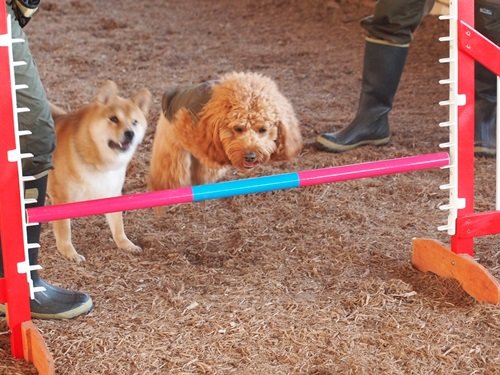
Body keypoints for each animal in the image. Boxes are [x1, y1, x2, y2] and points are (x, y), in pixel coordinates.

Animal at [48, 81, 152, 264]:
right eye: (114, 119)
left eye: (135, 122)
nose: (130, 133)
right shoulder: (61, 197)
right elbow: (64, 231)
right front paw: (70, 253)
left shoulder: (112, 191)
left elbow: (118, 226)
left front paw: (126, 244)